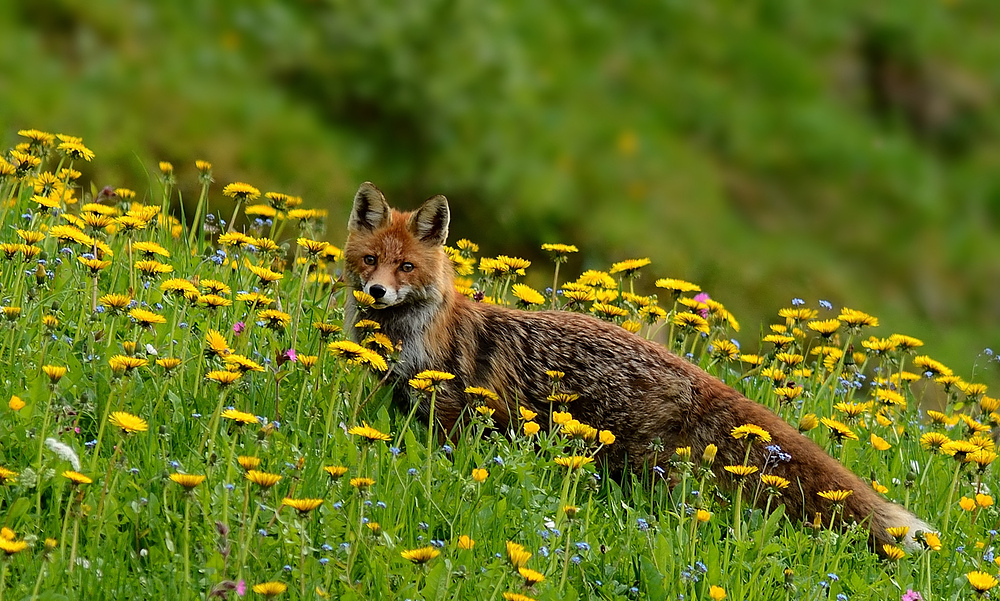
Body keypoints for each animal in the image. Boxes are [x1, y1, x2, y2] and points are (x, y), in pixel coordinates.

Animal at [344, 182, 928, 548]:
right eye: (370, 260)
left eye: (406, 266)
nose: (376, 293)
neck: (408, 339)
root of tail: (697, 373)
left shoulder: (448, 411)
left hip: (646, 472)